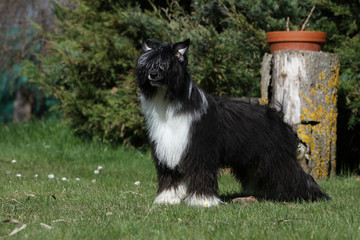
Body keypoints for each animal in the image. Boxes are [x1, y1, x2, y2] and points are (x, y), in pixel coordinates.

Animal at [136, 39, 330, 206]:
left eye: (165, 64)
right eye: (147, 64)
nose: (153, 74)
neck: (168, 104)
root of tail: (277, 115)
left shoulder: (200, 150)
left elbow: (201, 173)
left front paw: (202, 201)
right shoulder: (166, 148)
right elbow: (170, 175)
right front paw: (168, 199)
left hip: (278, 156)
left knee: (298, 175)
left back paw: (315, 196)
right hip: (253, 159)